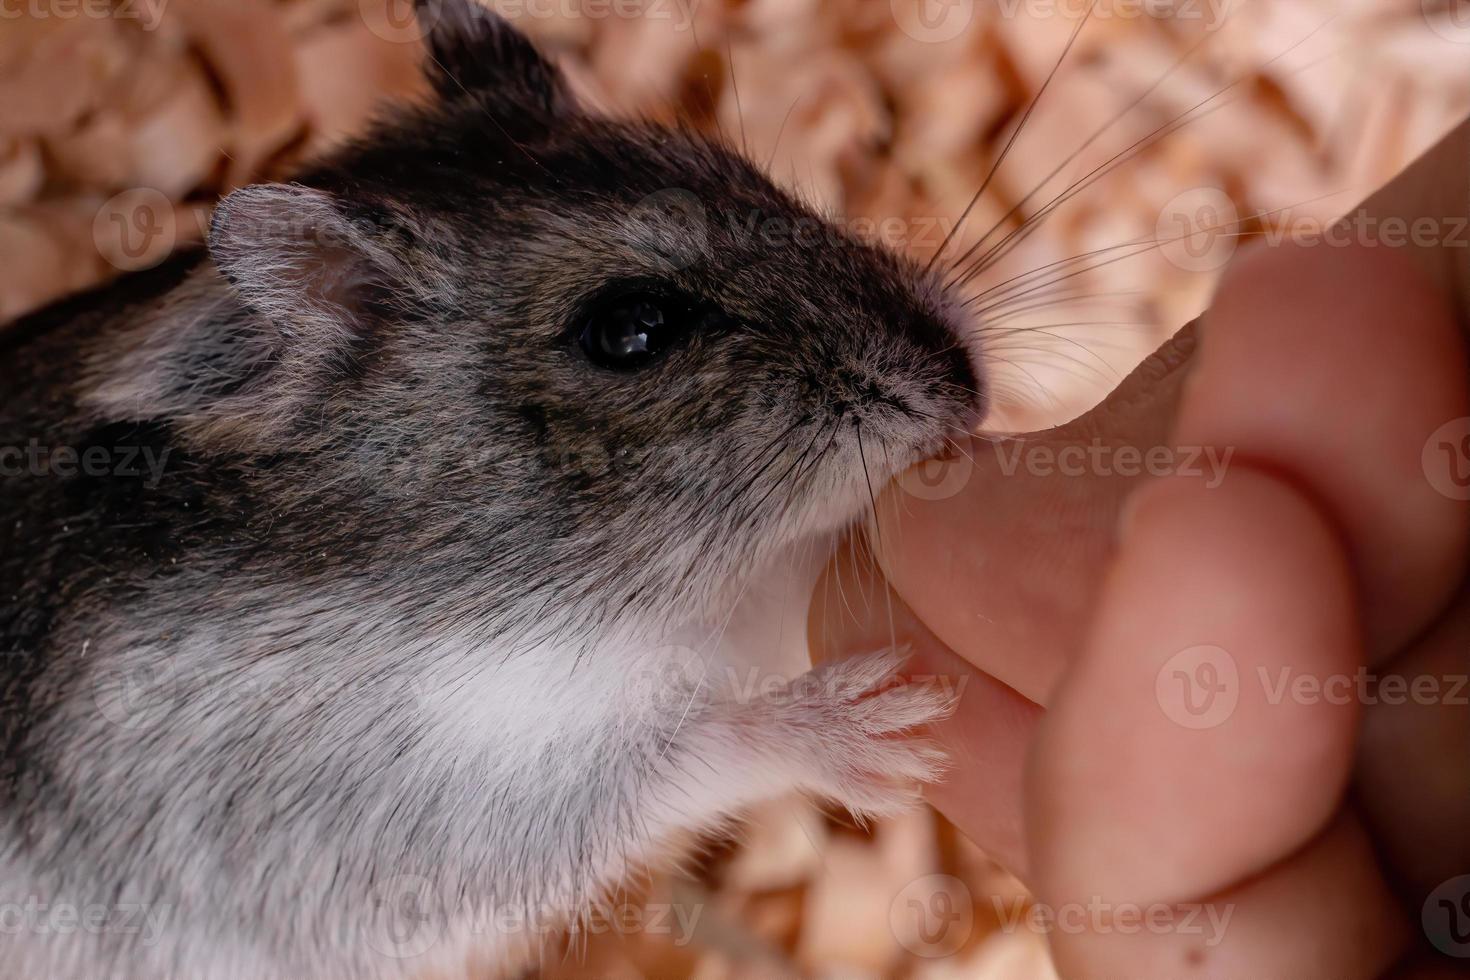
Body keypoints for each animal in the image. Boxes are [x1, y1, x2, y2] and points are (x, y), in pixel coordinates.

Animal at [0, 3, 987, 975]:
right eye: (632, 330)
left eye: (755, 178)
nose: (972, 390)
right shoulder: (410, 815)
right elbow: (680, 755)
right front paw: (886, 728)